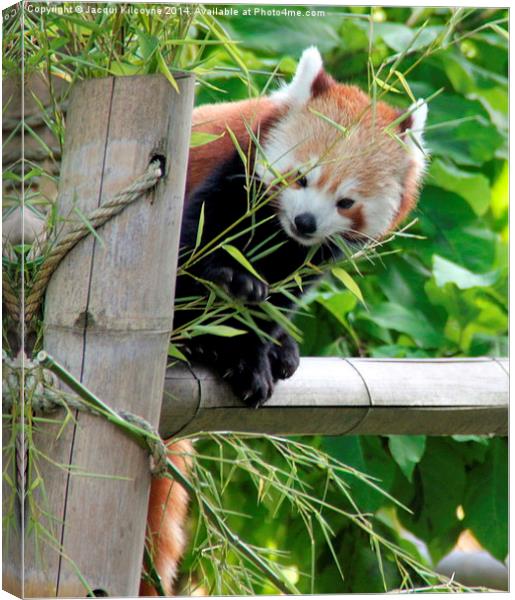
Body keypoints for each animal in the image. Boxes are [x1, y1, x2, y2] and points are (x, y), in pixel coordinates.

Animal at [140, 45, 428, 596]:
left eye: (346, 201)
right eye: (302, 178)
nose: (305, 222)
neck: (275, 232)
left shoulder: (307, 257)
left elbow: (279, 300)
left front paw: (265, 349)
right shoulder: (226, 171)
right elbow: (195, 254)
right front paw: (234, 319)